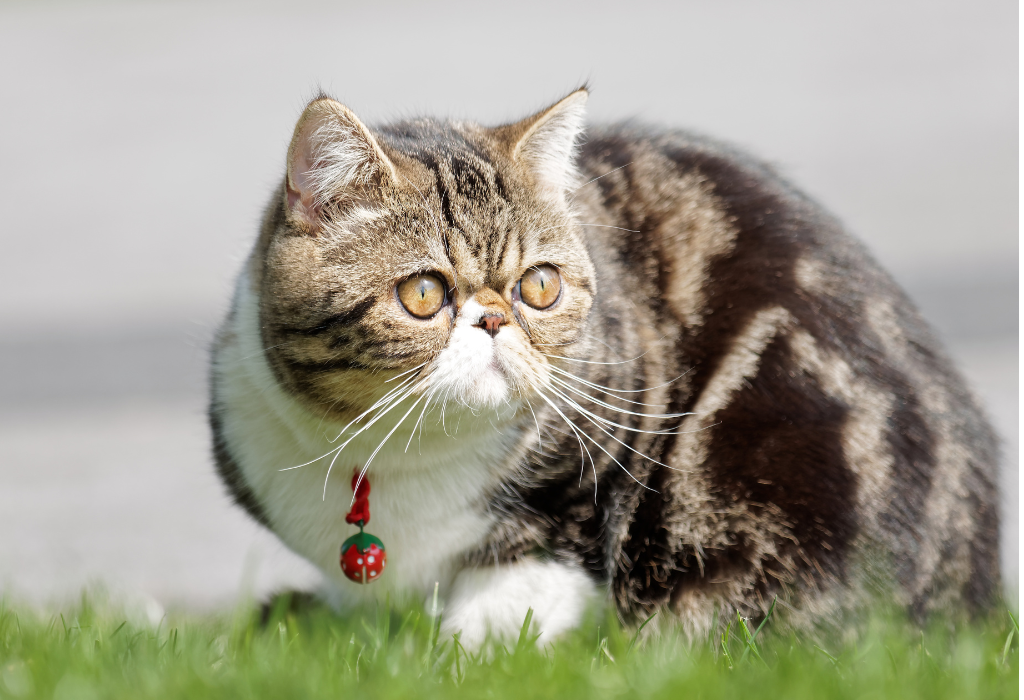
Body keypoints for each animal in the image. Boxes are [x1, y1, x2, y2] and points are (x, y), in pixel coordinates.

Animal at [207, 89, 999, 650]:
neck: (402, 451)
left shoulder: (599, 461)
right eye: (424, 294)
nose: (494, 318)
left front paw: (456, 652)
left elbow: (519, 592)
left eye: (539, 286)